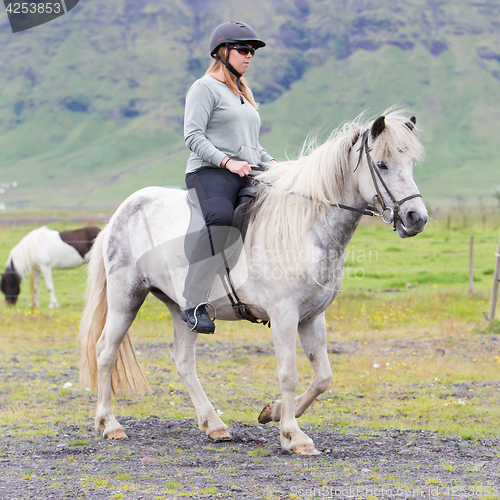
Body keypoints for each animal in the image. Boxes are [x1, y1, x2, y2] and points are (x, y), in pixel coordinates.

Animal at [78, 110, 426, 458]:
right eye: (382, 164)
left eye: (411, 163)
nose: (416, 218)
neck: (304, 226)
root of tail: (121, 212)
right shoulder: (284, 316)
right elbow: (288, 374)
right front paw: (293, 436)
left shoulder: (312, 317)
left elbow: (323, 376)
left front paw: (272, 412)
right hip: (126, 297)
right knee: (106, 351)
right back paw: (109, 424)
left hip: (182, 309)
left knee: (184, 362)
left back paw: (214, 425)